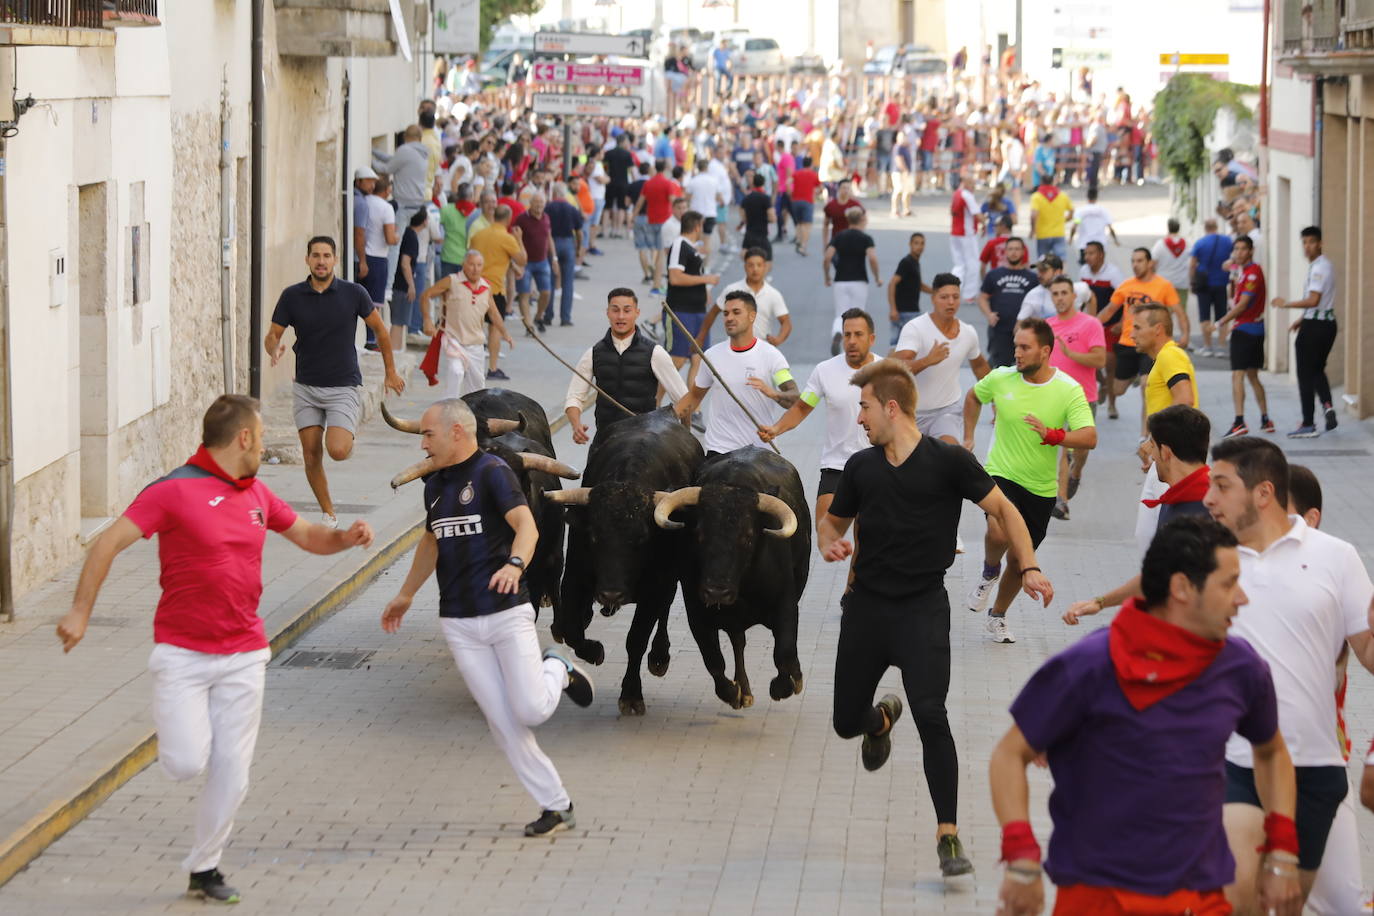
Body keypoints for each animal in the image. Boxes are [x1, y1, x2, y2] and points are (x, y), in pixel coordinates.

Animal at [541, 406, 703, 714]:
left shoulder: (656, 588)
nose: (611, 594)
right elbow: (571, 629)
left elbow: (636, 639)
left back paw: (659, 657)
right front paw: (594, 650)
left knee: (664, 612)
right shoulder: (574, 577)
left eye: (641, 539)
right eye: (594, 536)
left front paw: (631, 694)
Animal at [654, 447, 802, 714]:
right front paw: (733, 692)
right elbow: (713, 659)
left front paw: (784, 685)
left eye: (748, 536)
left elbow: (784, 651)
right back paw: (744, 690)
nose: (717, 592)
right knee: (738, 642)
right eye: (698, 534)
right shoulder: (697, 613)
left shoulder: (786, 604)